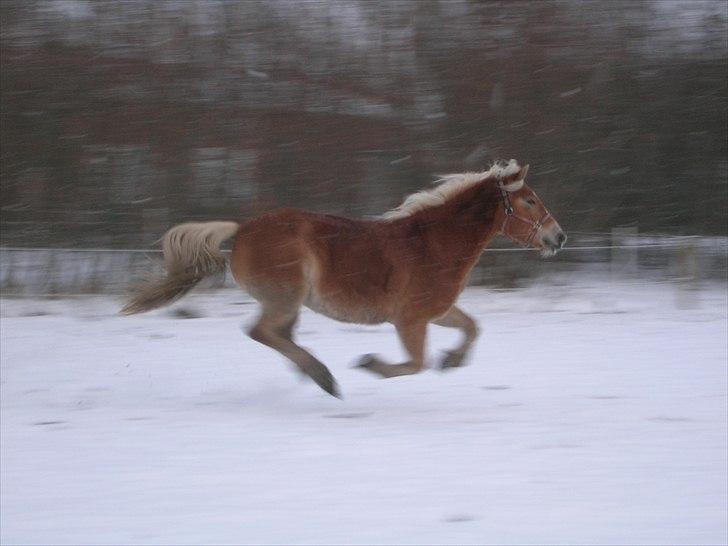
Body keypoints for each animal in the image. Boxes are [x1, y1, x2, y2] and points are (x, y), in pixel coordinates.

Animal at [123, 157, 568, 396]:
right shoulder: (410, 320)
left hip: (290, 303)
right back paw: (323, 377)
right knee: (261, 332)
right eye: (530, 200)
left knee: (279, 336)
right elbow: (414, 364)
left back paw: (311, 373)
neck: (432, 243)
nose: (559, 237)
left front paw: (453, 361)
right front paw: (371, 364)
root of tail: (242, 230)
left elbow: (472, 328)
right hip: (285, 297)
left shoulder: (437, 312)